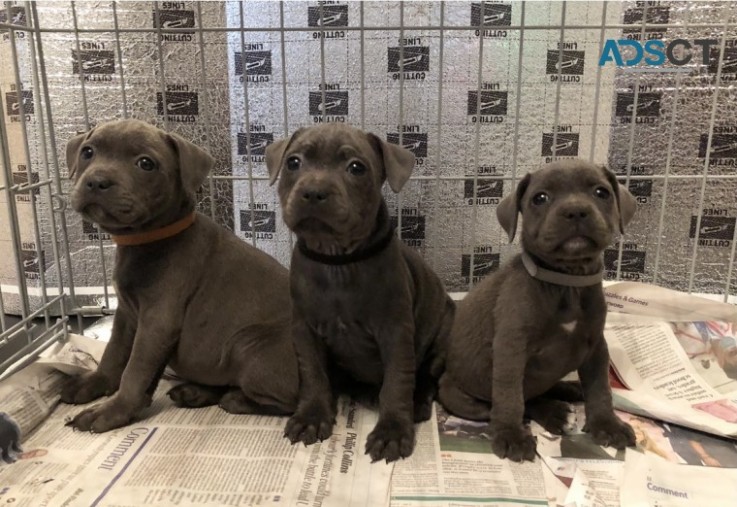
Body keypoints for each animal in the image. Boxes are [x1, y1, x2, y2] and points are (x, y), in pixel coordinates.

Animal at [60, 120, 296, 432]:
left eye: (145, 164)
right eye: (88, 152)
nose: (97, 181)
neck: (147, 239)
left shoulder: (157, 322)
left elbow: (135, 370)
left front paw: (113, 410)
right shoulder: (126, 315)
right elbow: (114, 352)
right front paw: (95, 383)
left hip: (248, 345)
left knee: (290, 400)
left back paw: (235, 399)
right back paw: (195, 392)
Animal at [264, 124, 454, 464]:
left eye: (356, 168)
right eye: (293, 162)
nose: (314, 192)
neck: (338, 259)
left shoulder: (395, 332)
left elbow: (396, 381)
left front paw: (392, 432)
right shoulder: (304, 330)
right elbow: (312, 373)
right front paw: (311, 417)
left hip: (442, 333)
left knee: (427, 374)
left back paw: (417, 402)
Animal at [440, 161, 636, 462]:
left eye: (601, 192)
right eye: (540, 198)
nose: (575, 211)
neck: (566, 282)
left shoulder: (595, 346)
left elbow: (600, 388)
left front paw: (608, 424)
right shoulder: (511, 348)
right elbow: (510, 396)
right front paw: (511, 435)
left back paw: (569, 389)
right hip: (462, 398)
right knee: (516, 401)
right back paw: (554, 411)